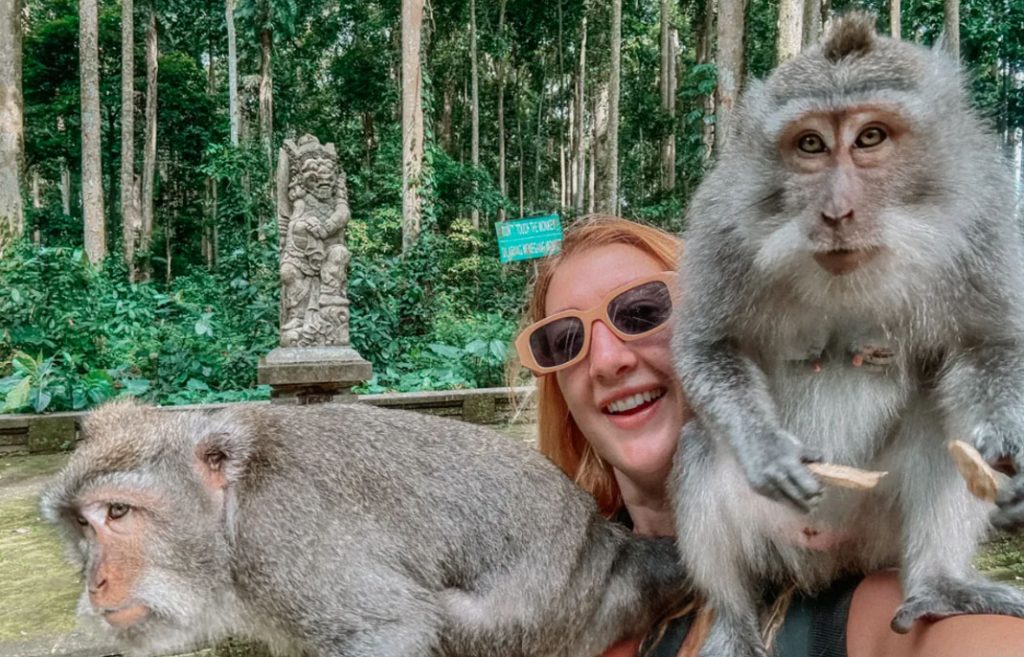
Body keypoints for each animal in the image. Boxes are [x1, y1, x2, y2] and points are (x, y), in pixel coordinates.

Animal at [40, 399, 688, 657]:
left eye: (118, 513)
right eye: (81, 524)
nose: (96, 581)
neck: (232, 516)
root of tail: (608, 546)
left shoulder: (285, 542)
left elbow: (391, 628)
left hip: (540, 624)